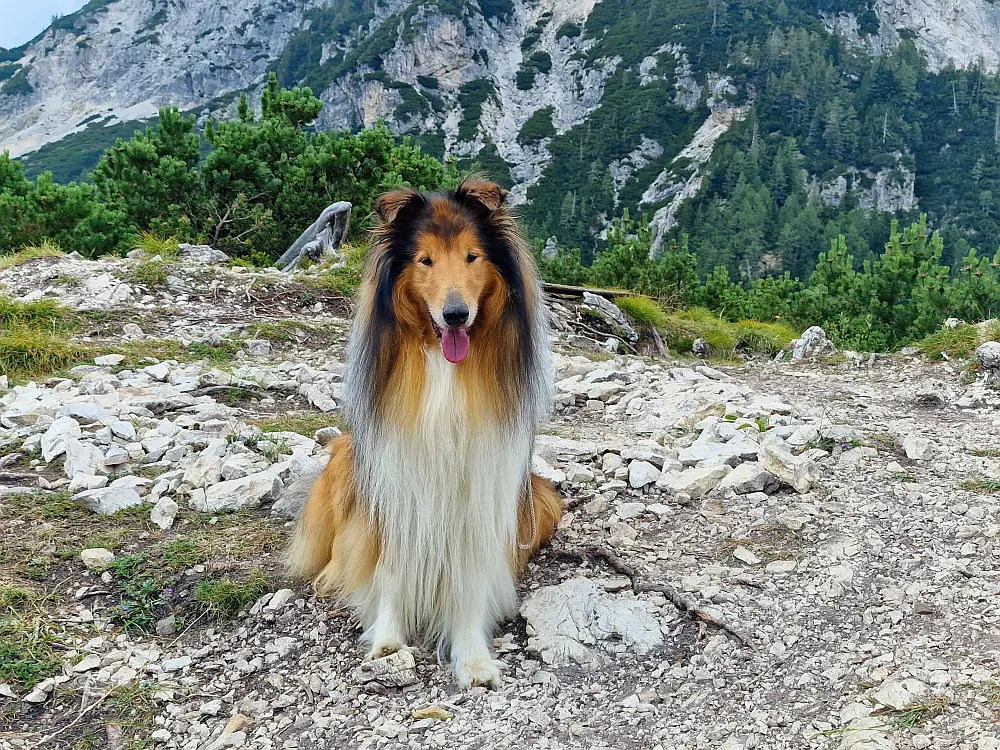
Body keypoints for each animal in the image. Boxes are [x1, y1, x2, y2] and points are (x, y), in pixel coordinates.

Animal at [284, 178, 564, 692]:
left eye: (472, 256)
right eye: (425, 260)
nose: (456, 315)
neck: (443, 368)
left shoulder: (483, 493)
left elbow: (470, 583)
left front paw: (473, 660)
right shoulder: (397, 483)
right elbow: (391, 570)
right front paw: (388, 642)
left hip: (539, 498)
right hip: (346, 461)